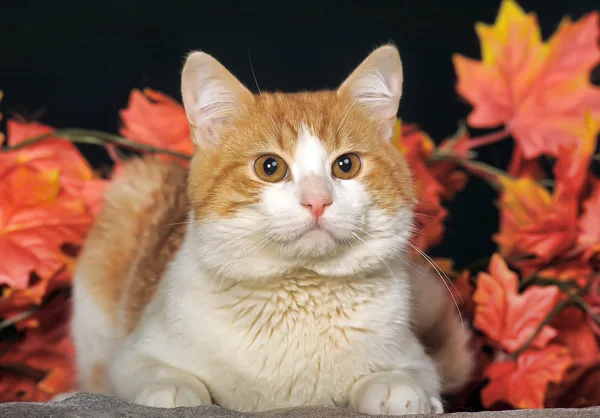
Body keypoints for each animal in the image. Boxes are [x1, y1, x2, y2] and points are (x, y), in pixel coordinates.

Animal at [70, 44, 474, 414]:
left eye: (346, 165)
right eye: (270, 167)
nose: (317, 200)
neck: (300, 292)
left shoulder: (418, 357)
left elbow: (408, 376)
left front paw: (397, 387)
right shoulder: (132, 355)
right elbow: (156, 376)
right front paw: (172, 388)